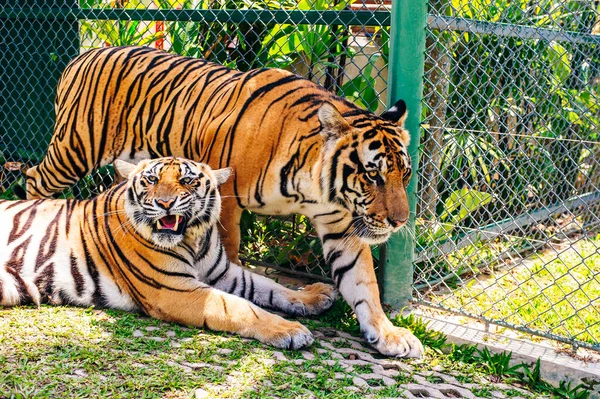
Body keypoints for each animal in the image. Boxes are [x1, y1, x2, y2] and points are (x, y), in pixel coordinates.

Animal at [1, 156, 338, 350]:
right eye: (151, 180)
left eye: (187, 181)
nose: (164, 204)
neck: (193, 239)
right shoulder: (175, 288)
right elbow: (239, 307)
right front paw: (290, 330)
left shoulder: (224, 271)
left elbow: (268, 285)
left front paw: (315, 295)